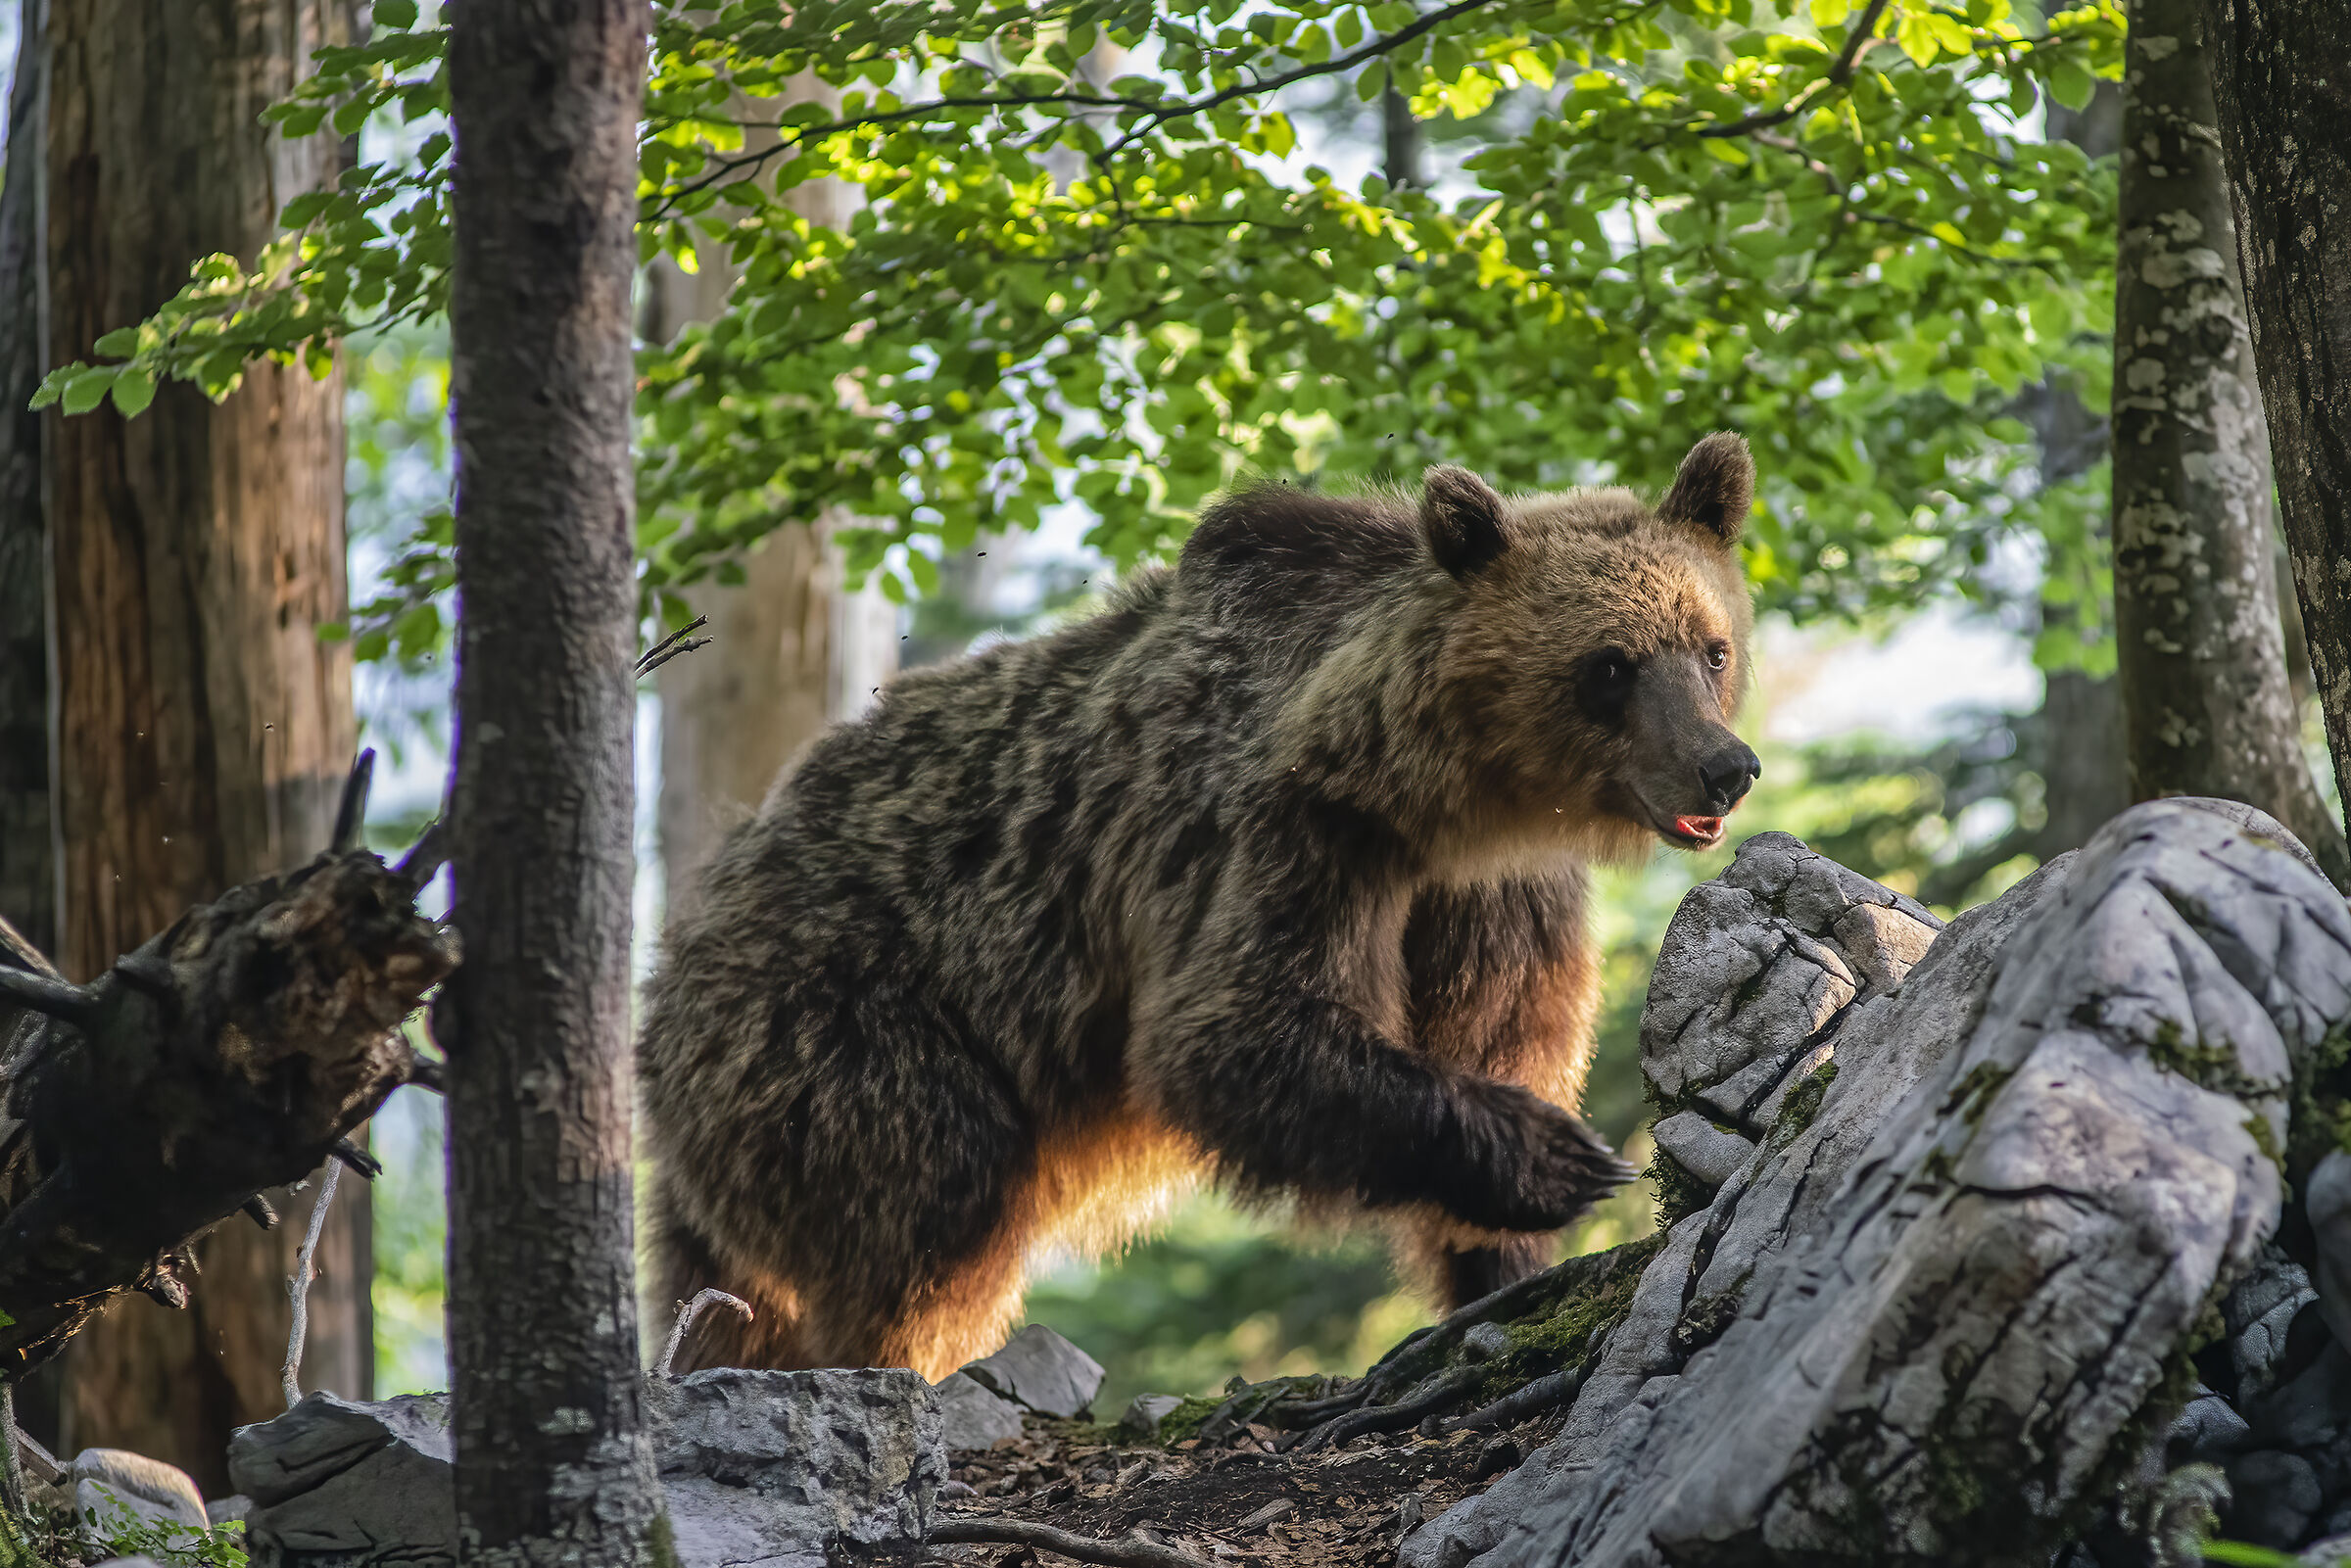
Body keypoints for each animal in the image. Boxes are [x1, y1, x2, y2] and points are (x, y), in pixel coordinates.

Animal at [638, 432, 1762, 1378]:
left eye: (1710, 646)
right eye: (1609, 664)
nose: (1725, 766)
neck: (1447, 799)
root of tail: (686, 928)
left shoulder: (1489, 896)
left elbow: (1503, 1035)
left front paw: (1510, 1263)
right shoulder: (1285, 834)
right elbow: (1235, 1030)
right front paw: (1563, 1160)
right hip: (840, 1014)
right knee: (930, 1196)